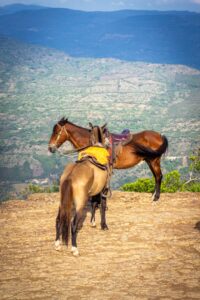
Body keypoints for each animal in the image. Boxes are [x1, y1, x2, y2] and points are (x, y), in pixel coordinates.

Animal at [54, 126, 110, 255]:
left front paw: (93, 222)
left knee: (58, 220)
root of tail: (70, 176)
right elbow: (102, 206)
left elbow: (94, 203)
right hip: (80, 203)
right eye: (105, 134)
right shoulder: (103, 190)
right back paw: (75, 248)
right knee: (73, 224)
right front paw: (103, 225)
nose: (108, 143)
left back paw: (57, 244)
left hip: (62, 202)